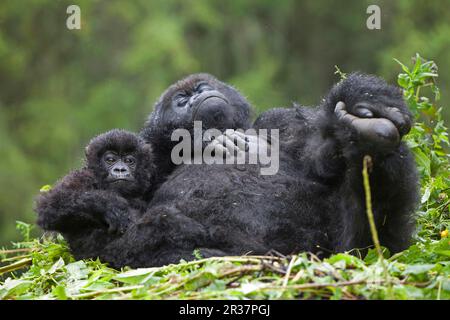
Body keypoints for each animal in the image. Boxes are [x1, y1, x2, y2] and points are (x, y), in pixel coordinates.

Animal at [34, 129, 156, 260]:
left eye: (129, 161)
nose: (120, 169)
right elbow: (49, 206)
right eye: (110, 160)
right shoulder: (82, 176)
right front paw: (109, 205)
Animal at [93, 72, 420, 268]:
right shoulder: (147, 152)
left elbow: (319, 157)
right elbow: (117, 233)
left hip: (345, 252)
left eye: (200, 88)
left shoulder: (278, 119)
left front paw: (363, 96)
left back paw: (368, 135)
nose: (198, 96)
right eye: (181, 101)